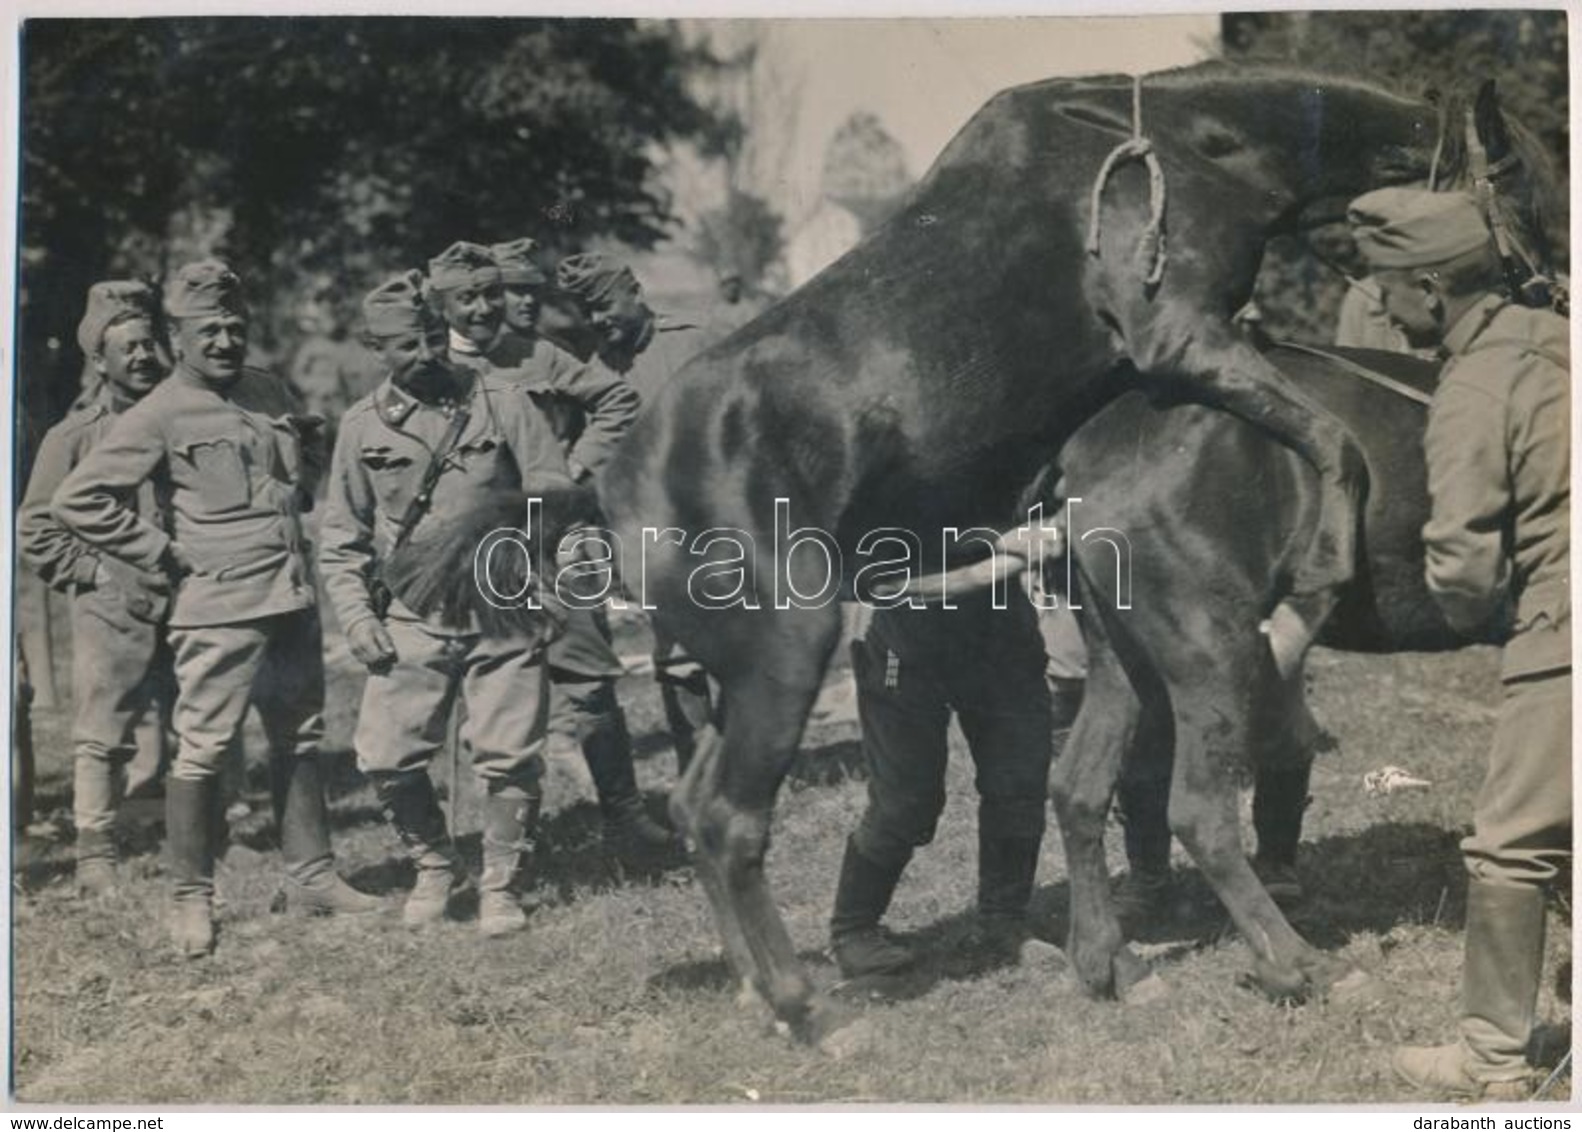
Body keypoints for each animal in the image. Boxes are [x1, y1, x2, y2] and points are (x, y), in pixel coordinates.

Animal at [1050, 344, 1455, 999]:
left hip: (1119, 657)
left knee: (1078, 787)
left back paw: (1105, 959)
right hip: (1211, 651)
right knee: (1199, 811)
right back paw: (1296, 963)